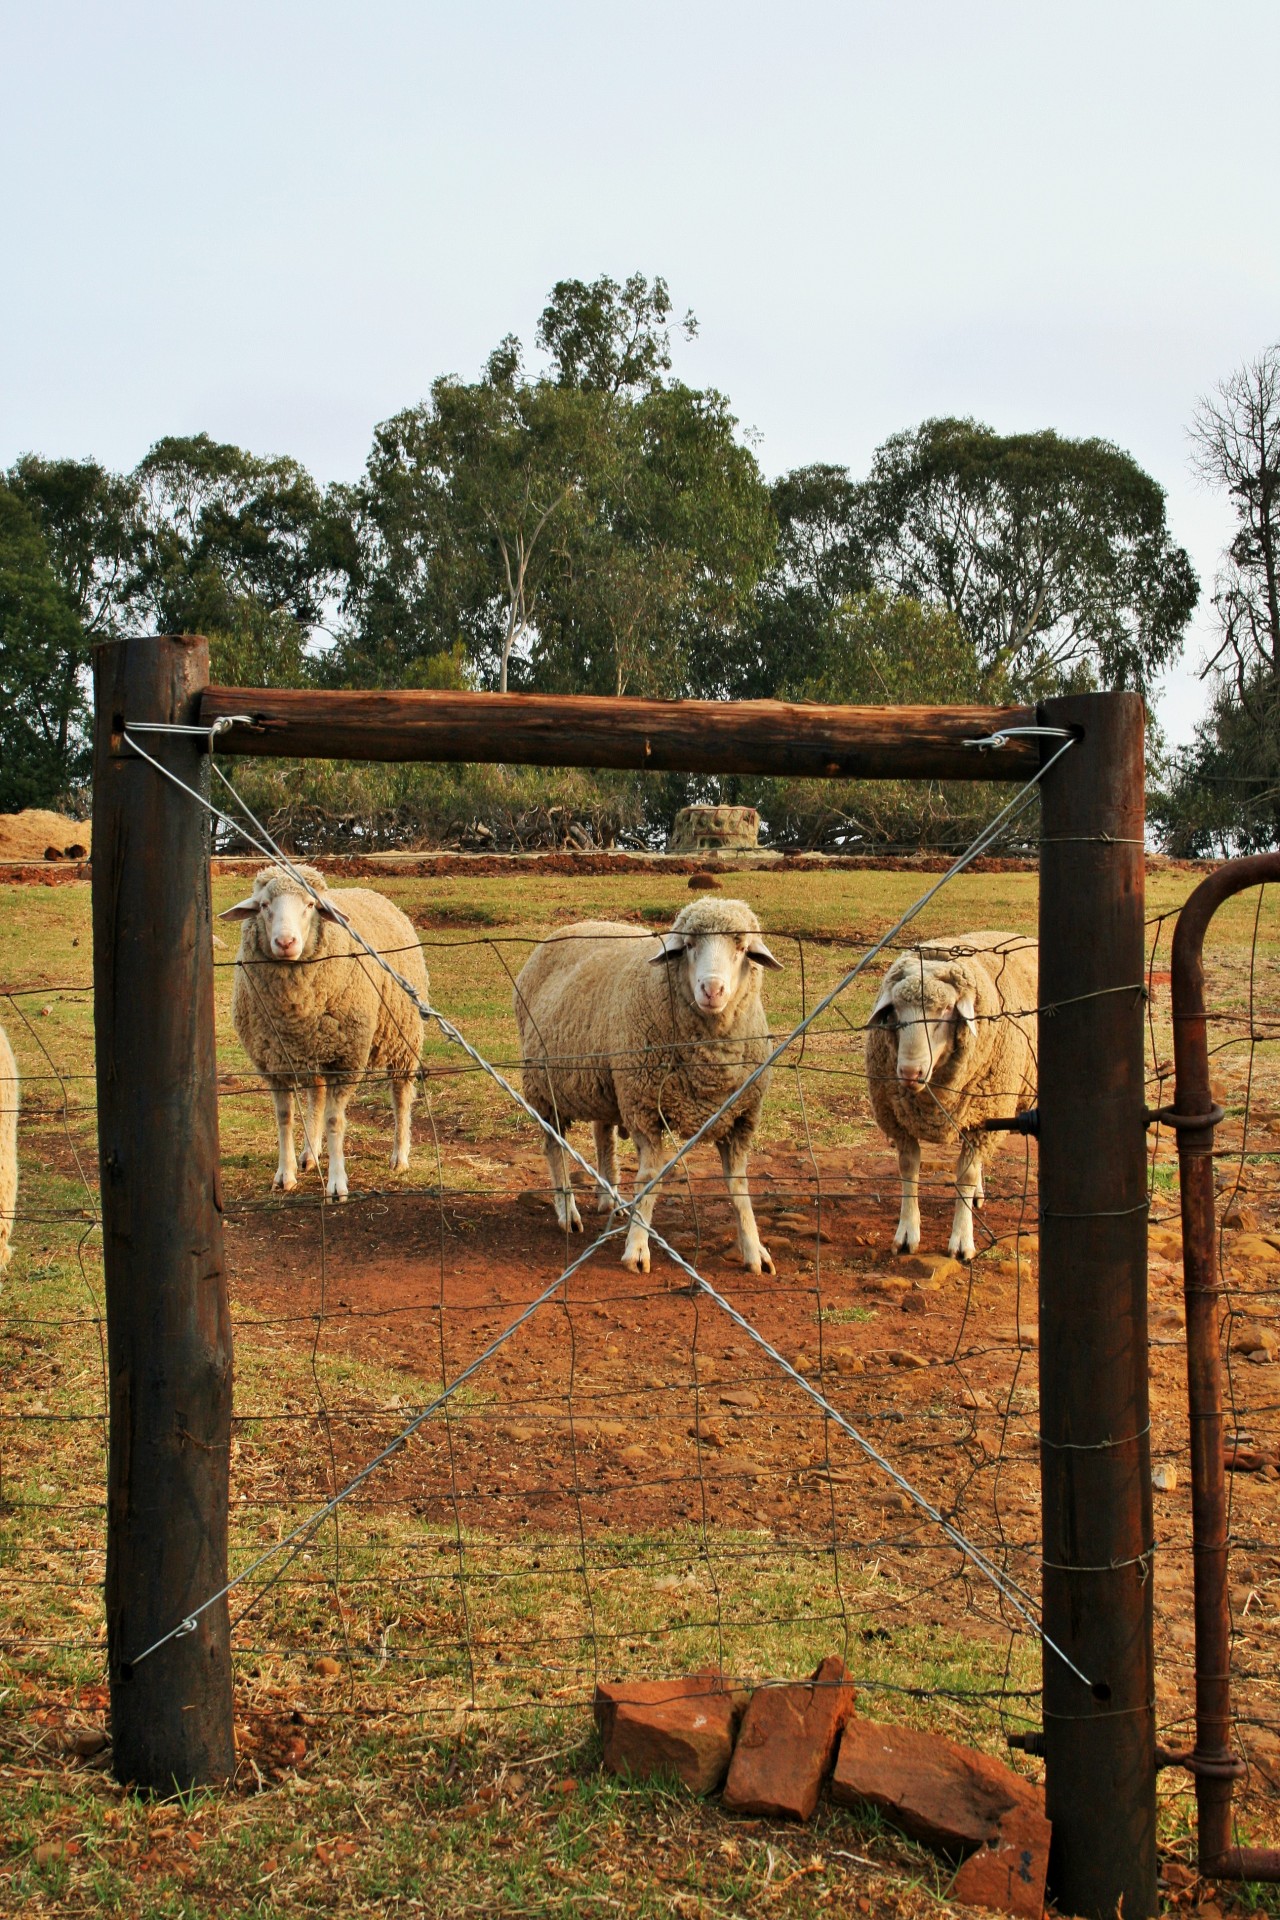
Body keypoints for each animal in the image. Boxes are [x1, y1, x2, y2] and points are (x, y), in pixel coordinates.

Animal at [222, 871, 433, 1198]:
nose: (285, 942)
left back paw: (399, 1157)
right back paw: (309, 1154)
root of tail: (368, 890)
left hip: (403, 1036)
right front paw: (285, 1175)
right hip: (316, 1050)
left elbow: (335, 1120)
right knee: (317, 1096)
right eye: (265, 905)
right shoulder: (274, 1063)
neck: (294, 1010)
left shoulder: (345, 1060)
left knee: (400, 1094)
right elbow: (284, 1117)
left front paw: (337, 1183)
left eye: (310, 904)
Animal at [514, 894, 782, 1274]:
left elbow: (739, 1187)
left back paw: (609, 1199)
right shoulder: (644, 1109)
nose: (712, 989)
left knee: (603, 1136)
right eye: (688, 946)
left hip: (605, 1080)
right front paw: (637, 1248)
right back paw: (568, 1212)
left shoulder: (740, 1118)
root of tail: (572, 925)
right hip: (544, 1088)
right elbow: (651, 1178)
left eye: (741, 946)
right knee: (554, 1148)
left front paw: (754, 1250)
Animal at [867, 929, 1036, 1259]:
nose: (910, 1072)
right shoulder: (900, 1121)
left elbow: (965, 1176)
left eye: (946, 1010)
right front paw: (907, 1233)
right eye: (895, 1010)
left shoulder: (983, 1120)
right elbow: (909, 1167)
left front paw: (961, 1241)